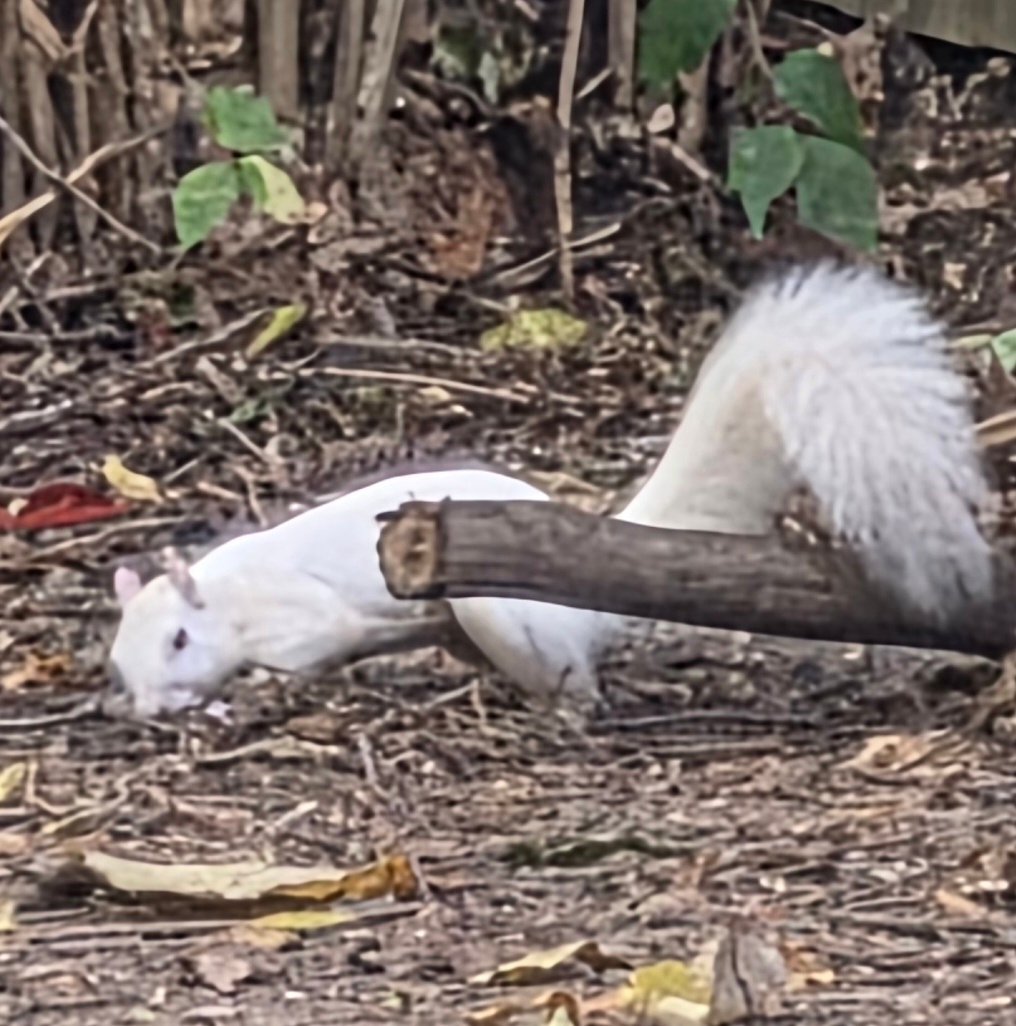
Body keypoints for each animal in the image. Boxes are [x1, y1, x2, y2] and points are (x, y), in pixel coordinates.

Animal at [107, 262, 995, 719]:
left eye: (179, 641)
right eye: (117, 660)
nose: (145, 706)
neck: (228, 596)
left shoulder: (303, 617)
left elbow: (312, 649)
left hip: (501, 613)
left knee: (572, 680)